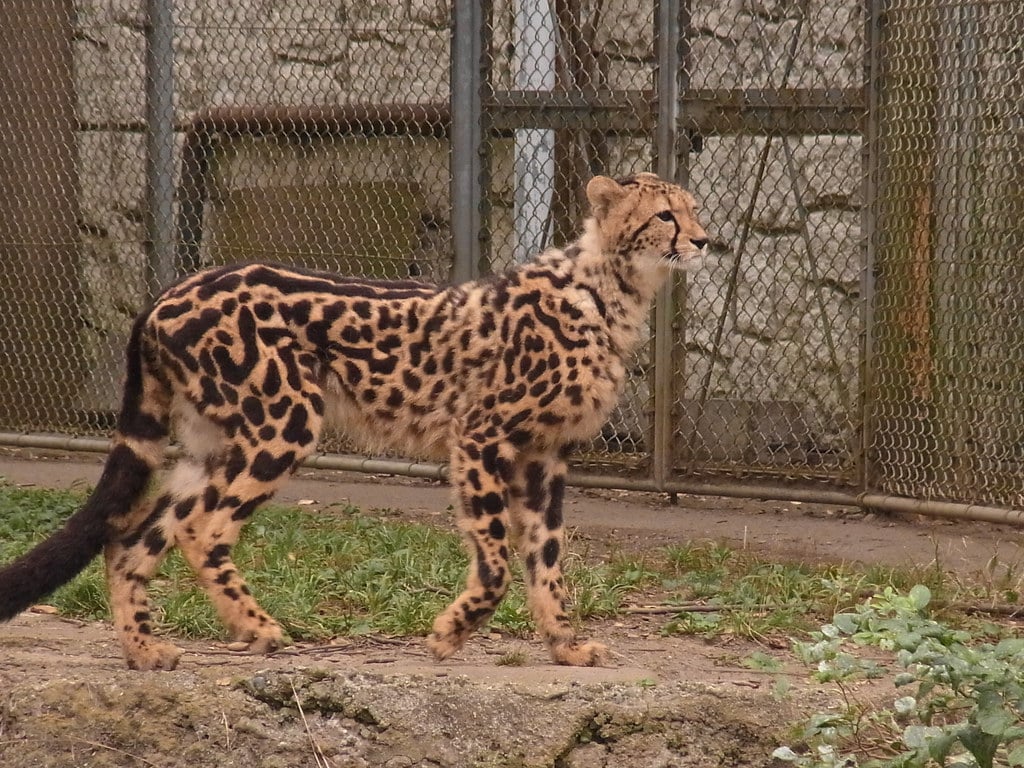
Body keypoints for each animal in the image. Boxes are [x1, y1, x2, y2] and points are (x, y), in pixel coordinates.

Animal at [0, 172, 708, 670]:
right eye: (664, 215)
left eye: (694, 208)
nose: (703, 240)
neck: (607, 288)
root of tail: (167, 293)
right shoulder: (481, 437)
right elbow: (498, 561)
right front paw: (450, 633)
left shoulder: (546, 456)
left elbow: (546, 559)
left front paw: (566, 646)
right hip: (283, 422)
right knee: (202, 529)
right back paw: (257, 628)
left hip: (211, 445)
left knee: (133, 540)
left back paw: (145, 651)